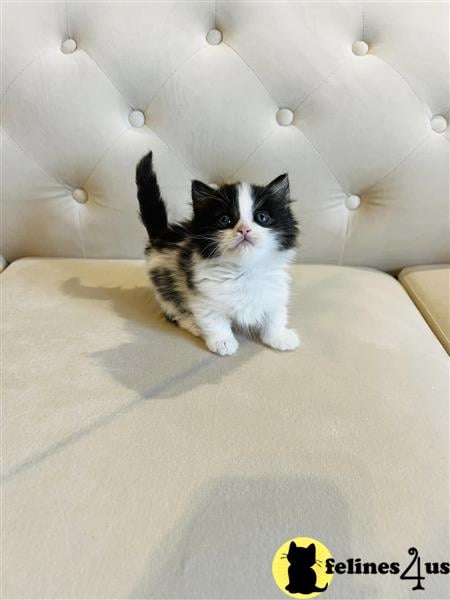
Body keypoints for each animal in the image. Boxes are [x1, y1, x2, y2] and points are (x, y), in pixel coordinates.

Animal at [135, 151, 300, 356]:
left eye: (262, 217)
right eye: (225, 220)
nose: (243, 229)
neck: (244, 270)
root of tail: (162, 235)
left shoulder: (275, 288)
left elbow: (275, 314)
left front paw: (279, 337)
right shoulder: (203, 294)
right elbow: (213, 319)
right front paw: (223, 341)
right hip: (164, 288)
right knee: (173, 312)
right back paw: (193, 324)